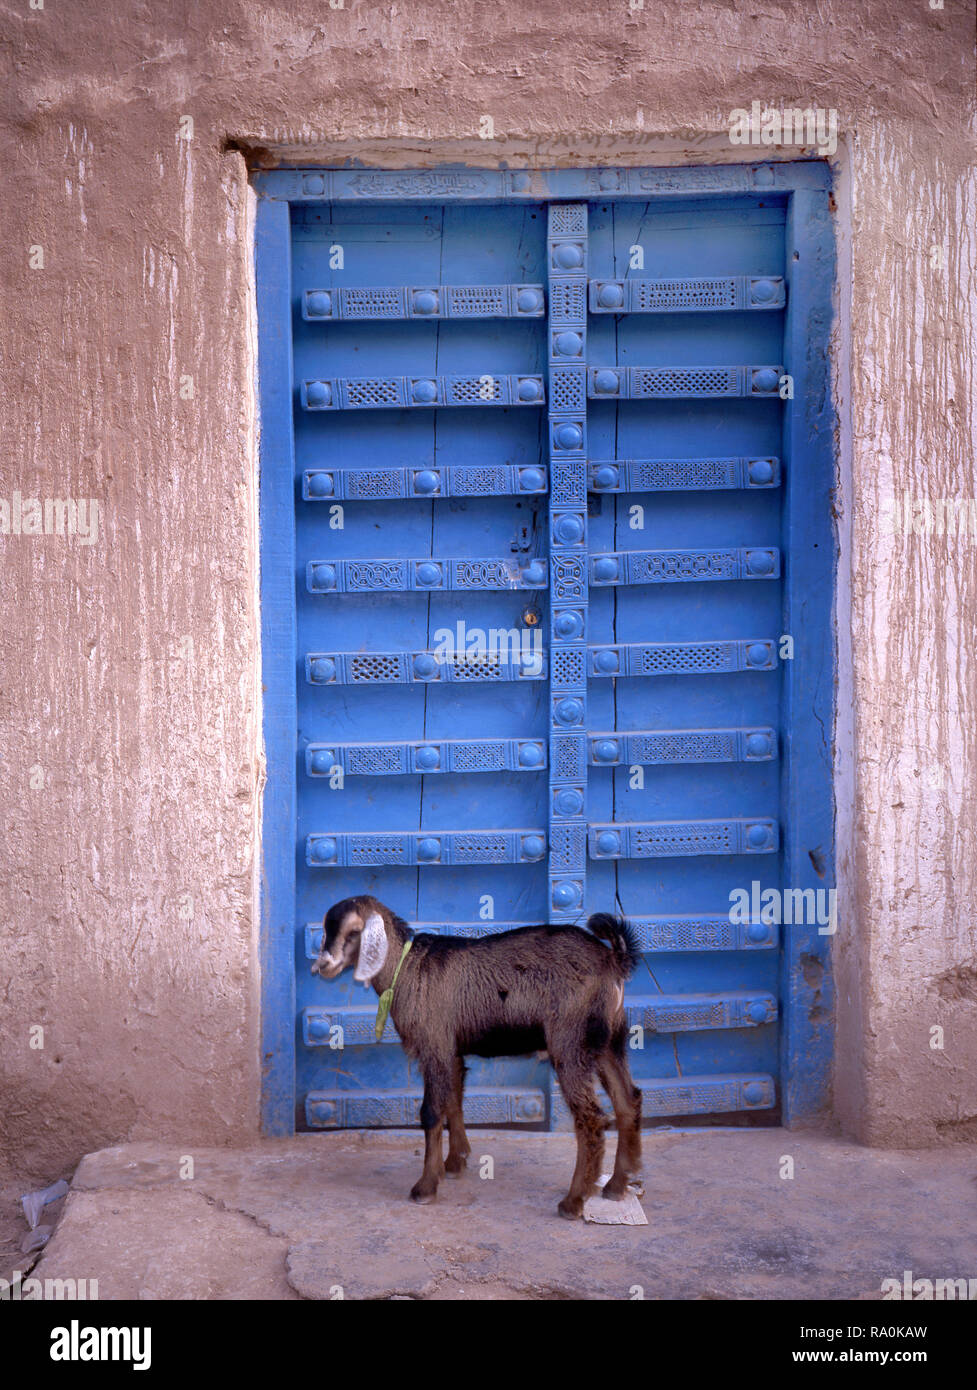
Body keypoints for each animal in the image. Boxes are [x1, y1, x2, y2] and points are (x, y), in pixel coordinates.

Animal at [311, 900, 642, 1217]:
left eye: (353, 932)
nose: (322, 965)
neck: (406, 967)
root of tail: (613, 960)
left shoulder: (434, 1045)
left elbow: (431, 1111)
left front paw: (425, 1186)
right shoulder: (451, 1050)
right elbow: (453, 1100)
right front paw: (454, 1162)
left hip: (571, 1042)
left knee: (591, 1118)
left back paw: (574, 1201)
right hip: (609, 1042)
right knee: (629, 1100)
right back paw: (616, 1184)